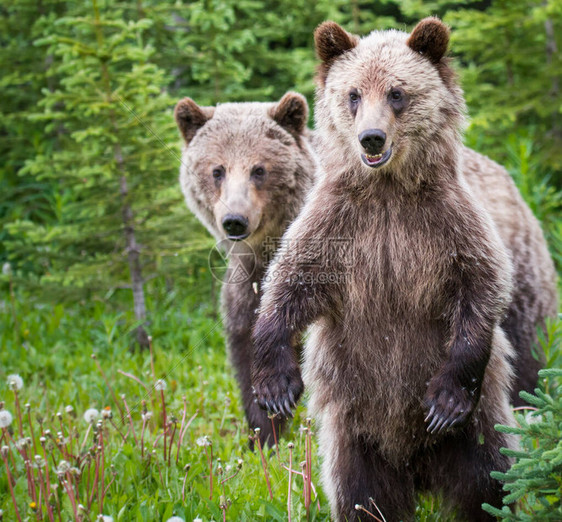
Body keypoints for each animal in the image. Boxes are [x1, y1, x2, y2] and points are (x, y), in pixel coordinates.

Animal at [174, 91, 316, 440]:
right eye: (217, 170)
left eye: (259, 169)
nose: (234, 220)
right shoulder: (245, 283)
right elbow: (247, 347)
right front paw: (265, 428)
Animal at [253, 17, 556, 520]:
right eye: (353, 94)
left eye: (397, 92)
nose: (371, 138)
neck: (388, 190)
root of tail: (419, 470)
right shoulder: (337, 226)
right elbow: (290, 281)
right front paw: (275, 385)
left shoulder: (449, 224)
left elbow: (482, 287)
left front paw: (445, 400)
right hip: (355, 436)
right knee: (361, 494)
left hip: (479, 432)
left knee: (491, 480)